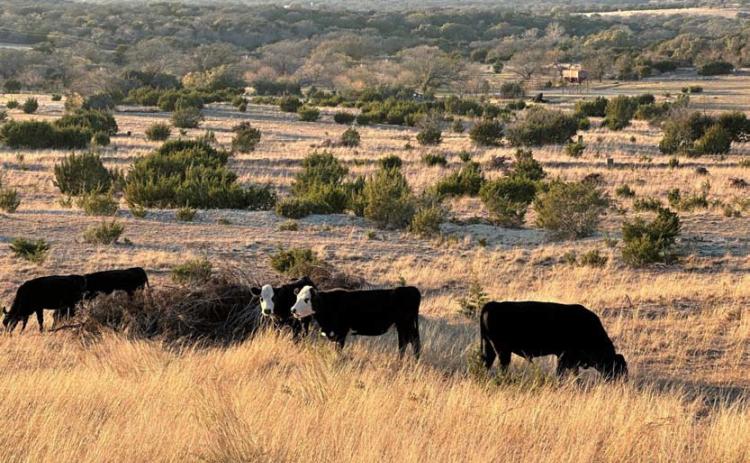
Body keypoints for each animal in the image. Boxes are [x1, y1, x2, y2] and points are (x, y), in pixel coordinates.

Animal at [290, 285, 421, 358]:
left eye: (307, 299)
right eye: (297, 297)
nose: (293, 310)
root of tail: (411, 289)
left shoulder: (341, 332)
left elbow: (338, 349)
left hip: (404, 324)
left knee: (409, 342)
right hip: (405, 326)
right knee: (408, 342)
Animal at [480, 301, 627, 380]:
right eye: (617, 368)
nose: (622, 382)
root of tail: (492, 304)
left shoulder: (571, 360)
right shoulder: (564, 356)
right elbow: (560, 373)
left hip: (490, 348)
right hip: (503, 352)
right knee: (502, 366)